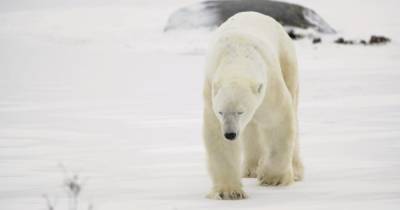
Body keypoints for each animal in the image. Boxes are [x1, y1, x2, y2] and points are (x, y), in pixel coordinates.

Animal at [203, 11, 304, 200]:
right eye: (221, 112)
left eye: (240, 112)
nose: (230, 134)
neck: (238, 56)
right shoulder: (210, 93)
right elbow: (216, 136)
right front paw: (229, 192)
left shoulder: (270, 86)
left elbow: (277, 121)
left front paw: (272, 178)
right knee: (251, 129)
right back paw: (251, 168)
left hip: (287, 60)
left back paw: (295, 171)